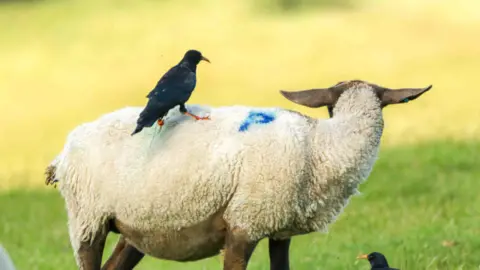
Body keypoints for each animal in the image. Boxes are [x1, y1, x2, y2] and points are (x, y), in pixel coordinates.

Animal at [46, 79, 432, 270]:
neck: (322, 145)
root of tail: (64, 150)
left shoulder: (279, 228)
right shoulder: (243, 223)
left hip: (136, 226)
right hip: (87, 219)